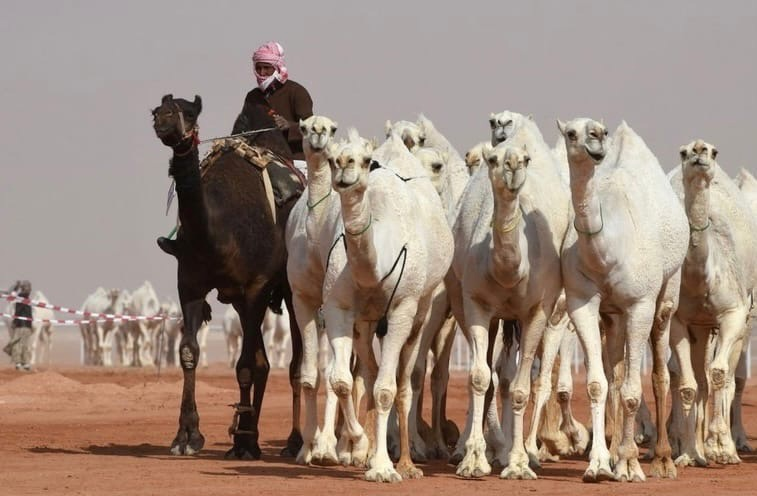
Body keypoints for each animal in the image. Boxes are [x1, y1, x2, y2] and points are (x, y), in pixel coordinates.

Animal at [151, 95, 304, 460]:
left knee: (296, 365)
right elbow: (189, 353)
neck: (218, 229)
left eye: (189, 112)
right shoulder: (190, 284)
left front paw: (243, 442)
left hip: (291, 290)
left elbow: (245, 365)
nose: (162, 118)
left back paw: (293, 443)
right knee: (264, 362)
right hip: (238, 301)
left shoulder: (256, 287)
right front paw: (187, 436)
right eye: (158, 109)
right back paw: (248, 439)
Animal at [320, 128, 452, 480]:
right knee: (368, 371)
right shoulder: (339, 308)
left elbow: (386, 390)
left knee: (405, 380)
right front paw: (360, 445)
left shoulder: (402, 309)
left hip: (423, 310)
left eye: (366, 160)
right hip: (365, 322)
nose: (345, 165)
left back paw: (407, 462)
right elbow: (342, 381)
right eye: (331, 158)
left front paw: (382, 467)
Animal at [448, 110, 568, 478]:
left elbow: (520, 388)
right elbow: (478, 378)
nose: (513, 165)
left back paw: (522, 451)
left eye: (525, 160)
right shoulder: (476, 304)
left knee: (520, 378)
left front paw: (517, 462)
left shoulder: (538, 310)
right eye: (492, 160)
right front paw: (474, 458)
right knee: (490, 373)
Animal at [560, 117, 688, 480]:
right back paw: (617, 451)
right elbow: (598, 384)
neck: (606, 248)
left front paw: (630, 464)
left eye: (600, 130)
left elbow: (633, 391)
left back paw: (662, 459)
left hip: (667, 292)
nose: (595, 136)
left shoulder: (640, 304)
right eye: (571, 133)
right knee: (615, 373)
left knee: (660, 372)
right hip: (613, 315)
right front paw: (600, 464)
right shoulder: (581, 302)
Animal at [668, 140, 756, 464]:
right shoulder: (680, 320)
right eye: (682, 152)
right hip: (701, 327)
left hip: (742, 323)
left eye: (713, 151)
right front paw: (687, 453)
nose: (698, 150)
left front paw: (721, 447)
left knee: (727, 376)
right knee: (699, 378)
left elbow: (720, 374)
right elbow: (688, 383)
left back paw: (726, 444)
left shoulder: (733, 313)